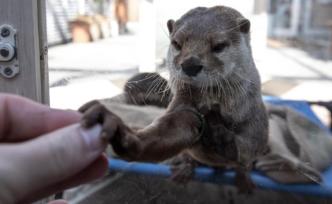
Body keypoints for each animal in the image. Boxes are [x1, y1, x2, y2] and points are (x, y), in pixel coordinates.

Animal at [81, 6, 270, 194]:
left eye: (219, 46)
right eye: (177, 44)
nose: (190, 64)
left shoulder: (254, 121)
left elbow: (247, 149)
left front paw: (221, 134)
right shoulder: (183, 106)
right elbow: (168, 132)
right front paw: (122, 134)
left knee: (245, 164)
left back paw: (244, 178)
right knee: (188, 155)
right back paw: (185, 168)